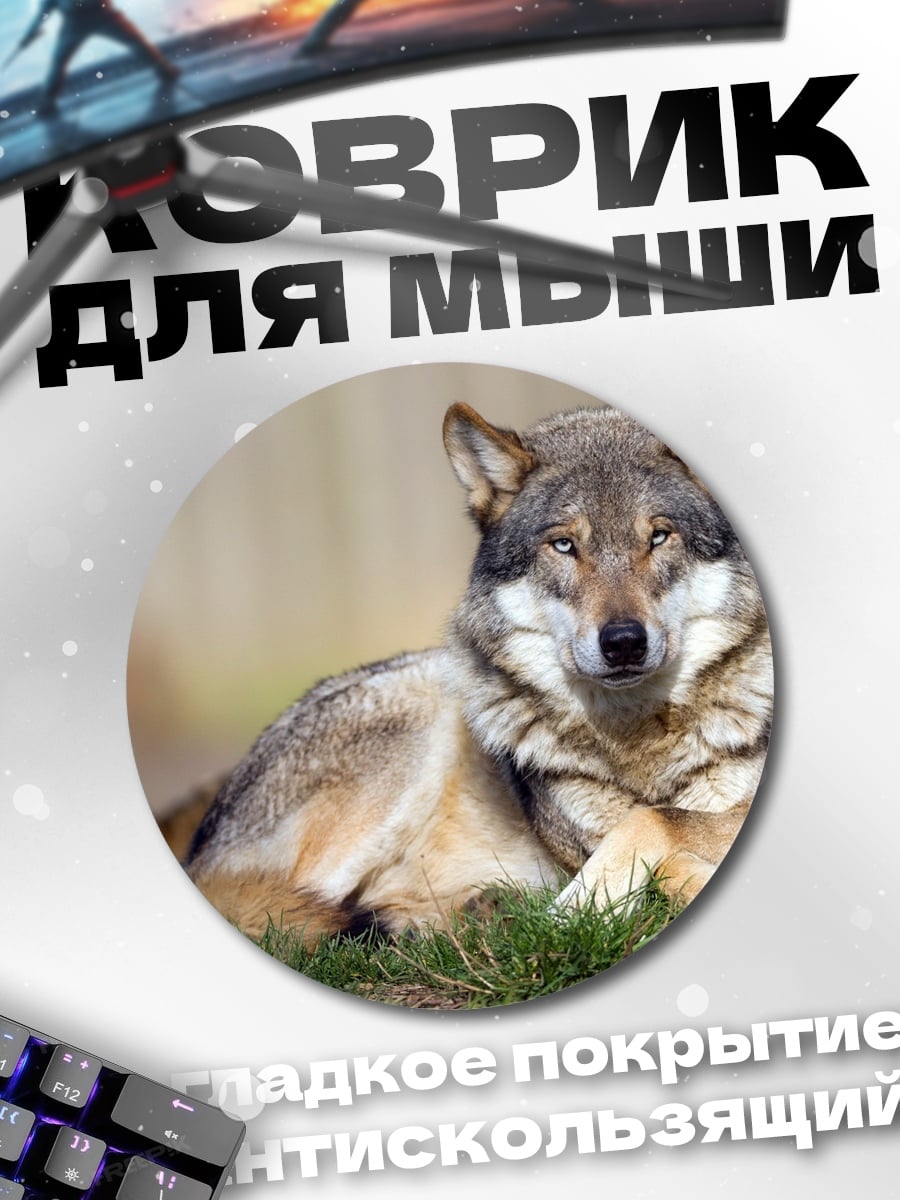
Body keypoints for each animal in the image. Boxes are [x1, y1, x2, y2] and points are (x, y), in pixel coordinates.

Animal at [182, 402, 773, 941]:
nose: (624, 642)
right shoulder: (587, 836)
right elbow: (652, 832)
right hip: (418, 725)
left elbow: (657, 823)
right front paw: (572, 914)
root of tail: (199, 847)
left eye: (658, 537)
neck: (640, 741)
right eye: (564, 545)